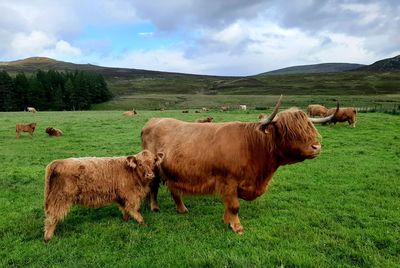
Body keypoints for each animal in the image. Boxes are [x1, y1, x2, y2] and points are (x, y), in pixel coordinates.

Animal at [141, 95, 338, 233]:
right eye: (289, 131)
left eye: (309, 128)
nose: (316, 147)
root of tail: (153, 120)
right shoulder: (228, 181)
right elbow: (234, 206)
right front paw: (236, 226)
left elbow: (229, 206)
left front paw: (227, 221)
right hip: (154, 169)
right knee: (154, 188)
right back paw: (155, 207)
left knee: (174, 189)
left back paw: (182, 209)